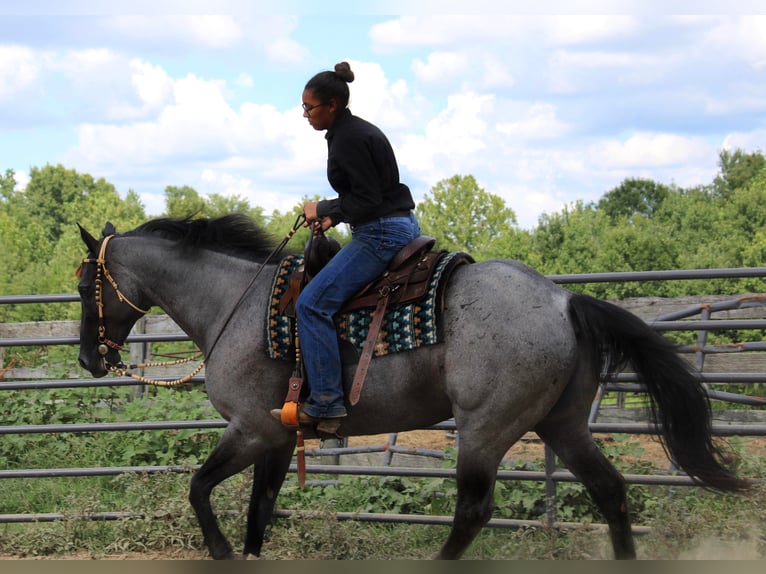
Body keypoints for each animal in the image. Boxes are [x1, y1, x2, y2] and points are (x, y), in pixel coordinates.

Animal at [76, 214, 752, 560]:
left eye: (86, 283)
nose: (88, 358)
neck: (234, 305)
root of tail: (564, 300)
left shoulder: (252, 429)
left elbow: (199, 488)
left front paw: (216, 552)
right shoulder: (278, 439)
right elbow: (259, 512)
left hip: (485, 429)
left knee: (473, 511)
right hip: (561, 423)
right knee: (611, 492)